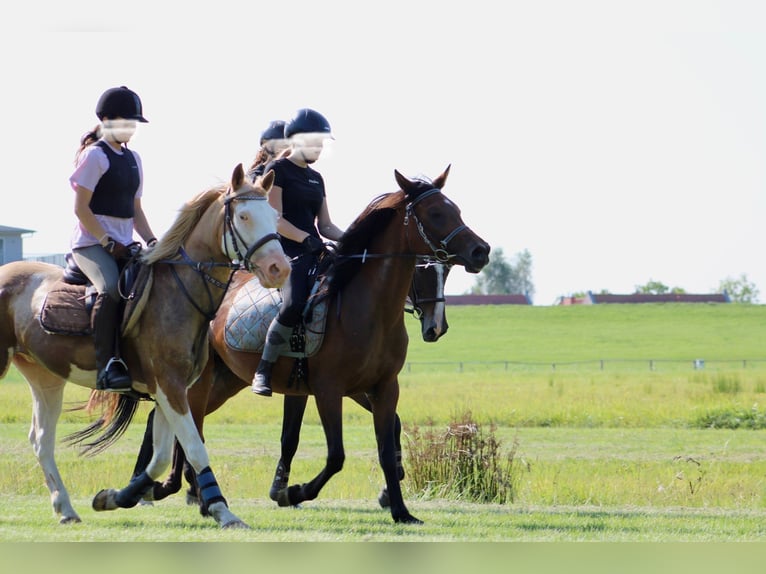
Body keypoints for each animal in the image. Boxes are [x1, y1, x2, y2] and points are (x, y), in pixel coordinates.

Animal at [0, 164, 292, 528]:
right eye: (243, 216)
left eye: (274, 215)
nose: (279, 269)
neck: (180, 293)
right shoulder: (170, 386)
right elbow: (193, 448)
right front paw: (223, 511)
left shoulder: (169, 389)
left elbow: (162, 456)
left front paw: (115, 497)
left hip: (46, 378)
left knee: (41, 440)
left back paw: (65, 508)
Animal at [129, 264, 452, 510]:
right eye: (421, 271)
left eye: (446, 270)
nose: (436, 328)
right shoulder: (323, 388)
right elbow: (291, 438)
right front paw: (285, 491)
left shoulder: (351, 387)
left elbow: (392, 423)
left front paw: (390, 485)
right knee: (176, 421)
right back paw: (157, 487)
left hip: (223, 383)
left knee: (176, 422)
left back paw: (172, 487)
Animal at [204, 164, 488, 524]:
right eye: (436, 213)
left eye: (457, 210)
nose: (481, 251)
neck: (371, 309)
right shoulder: (329, 390)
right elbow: (336, 455)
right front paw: (294, 492)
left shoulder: (382, 387)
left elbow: (386, 445)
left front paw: (399, 508)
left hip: (224, 380)